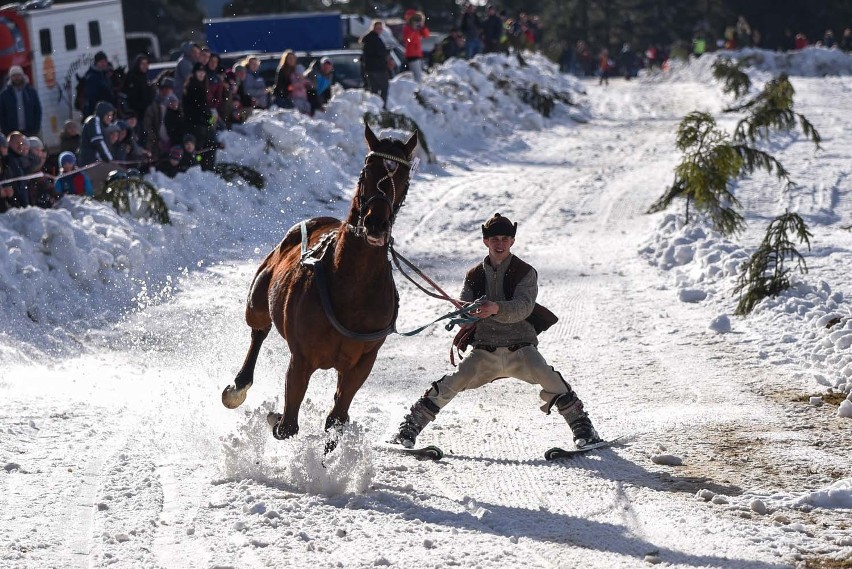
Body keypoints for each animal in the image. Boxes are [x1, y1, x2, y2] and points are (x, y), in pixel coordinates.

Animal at [221, 124, 418, 444]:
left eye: (403, 178)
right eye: (367, 170)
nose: (376, 223)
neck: (353, 286)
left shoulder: (362, 362)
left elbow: (336, 419)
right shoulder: (302, 357)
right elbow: (287, 426)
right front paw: (275, 417)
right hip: (259, 296)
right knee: (258, 329)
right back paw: (238, 387)